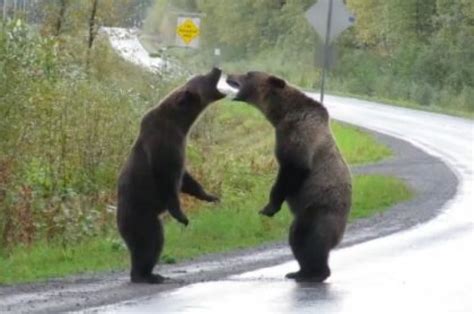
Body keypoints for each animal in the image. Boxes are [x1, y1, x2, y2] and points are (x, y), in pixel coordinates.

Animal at [115, 67, 225, 284]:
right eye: (203, 78)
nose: (216, 68)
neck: (180, 123)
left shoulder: (179, 148)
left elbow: (187, 179)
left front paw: (211, 196)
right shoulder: (163, 147)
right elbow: (168, 181)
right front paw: (182, 216)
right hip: (140, 214)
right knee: (149, 242)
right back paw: (147, 275)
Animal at [226, 71, 352, 282]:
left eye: (249, 74)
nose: (228, 74)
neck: (281, 114)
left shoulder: (298, 133)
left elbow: (293, 169)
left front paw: (268, 207)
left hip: (318, 210)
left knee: (307, 238)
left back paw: (314, 273)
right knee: (296, 239)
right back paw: (298, 272)